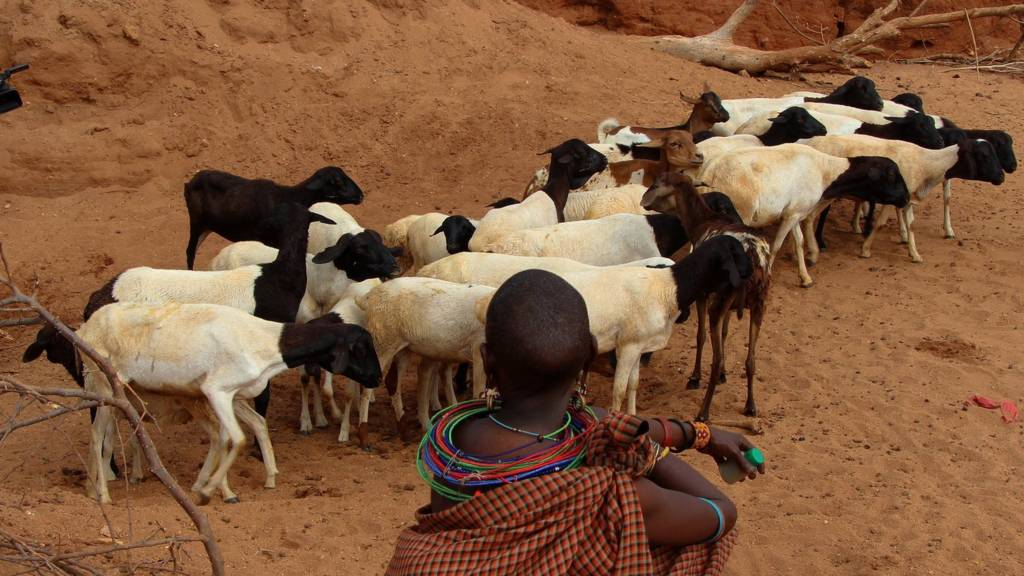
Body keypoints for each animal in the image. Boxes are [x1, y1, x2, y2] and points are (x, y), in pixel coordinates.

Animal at [638, 170, 770, 416]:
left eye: (657, 184)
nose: (643, 200)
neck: (702, 222)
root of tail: (753, 256)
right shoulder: (728, 305)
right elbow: (726, 333)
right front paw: (724, 375)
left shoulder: (702, 294)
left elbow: (700, 337)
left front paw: (695, 377)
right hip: (758, 303)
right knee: (751, 359)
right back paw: (750, 406)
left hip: (718, 303)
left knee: (715, 358)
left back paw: (704, 411)